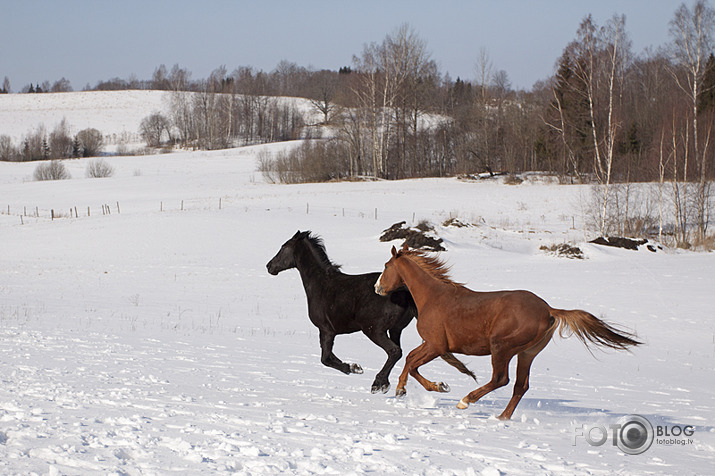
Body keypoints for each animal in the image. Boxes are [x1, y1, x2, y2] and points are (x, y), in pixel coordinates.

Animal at [266, 231, 478, 394]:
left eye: (284, 247)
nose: (269, 267)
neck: (321, 284)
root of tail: (405, 292)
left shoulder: (326, 330)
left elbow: (326, 358)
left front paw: (353, 368)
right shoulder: (331, 332)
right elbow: (329, 357)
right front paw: (354, 367)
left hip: (373, 330)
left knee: (394, 351)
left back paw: (379, 384)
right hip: (395, 329)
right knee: (398, 353)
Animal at [374, 245, 644, 420]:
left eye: (386, 266)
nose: (377, 288)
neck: (433, 297)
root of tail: (549, 310)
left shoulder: (437, 345)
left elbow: (413, 363)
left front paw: (434, 387)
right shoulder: (432, 344)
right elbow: (410, 359)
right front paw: (403, 389)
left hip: (501, 348)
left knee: (500, 379)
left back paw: (466, 402)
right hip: (527, 353)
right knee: (520, 386)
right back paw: (502, 417)